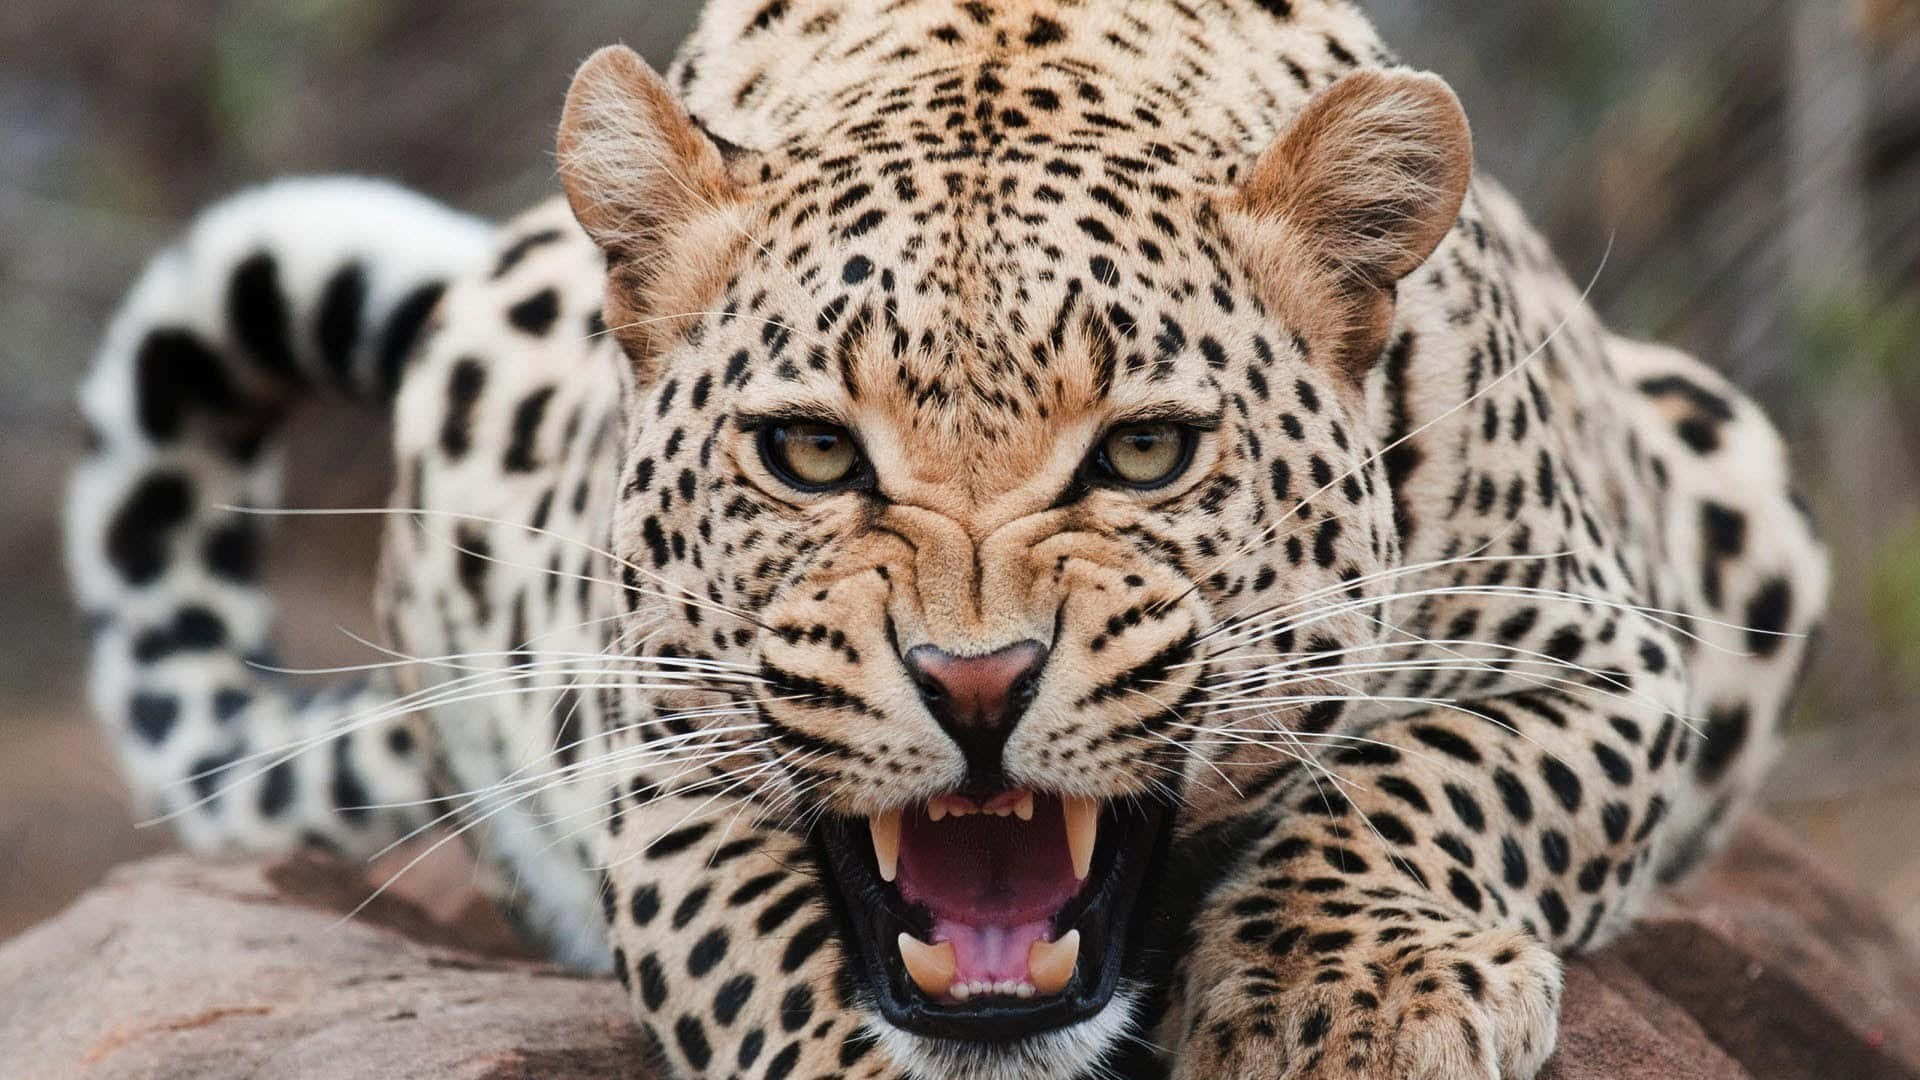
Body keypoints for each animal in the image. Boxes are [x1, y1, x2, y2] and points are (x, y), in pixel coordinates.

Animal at [66, 2, 1830, 1078]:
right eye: (807, 451)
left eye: (1145, 451)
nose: (975, 685)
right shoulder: (661, 767)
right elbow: (774, 976)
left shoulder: (1605, 657)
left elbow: (1430, 782)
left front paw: (1348, 1005)